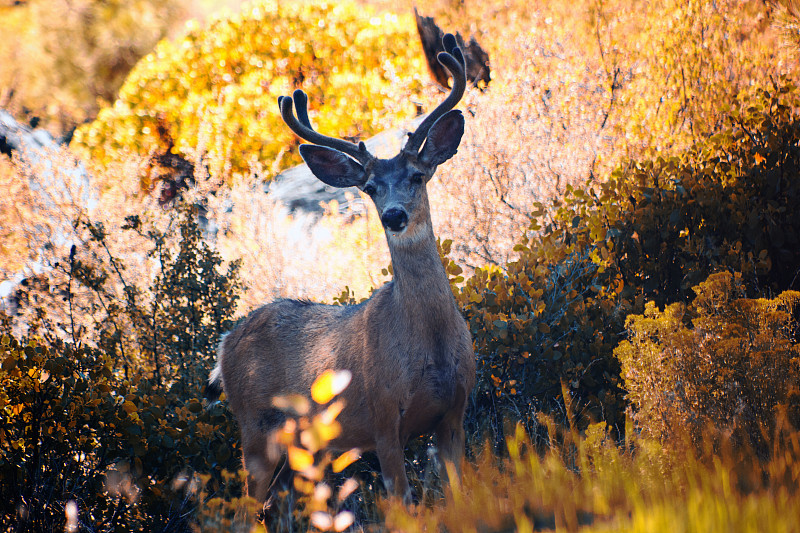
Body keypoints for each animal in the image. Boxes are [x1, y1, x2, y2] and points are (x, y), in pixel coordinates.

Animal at [206, 32, 478, 502]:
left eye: (418, 175)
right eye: (369, 187)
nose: (393, 215)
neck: (430, 344)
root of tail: (223, 346)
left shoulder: (454, 414)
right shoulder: (383, 417)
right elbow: (403, 502)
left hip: (300, 449)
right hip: (255, 431)